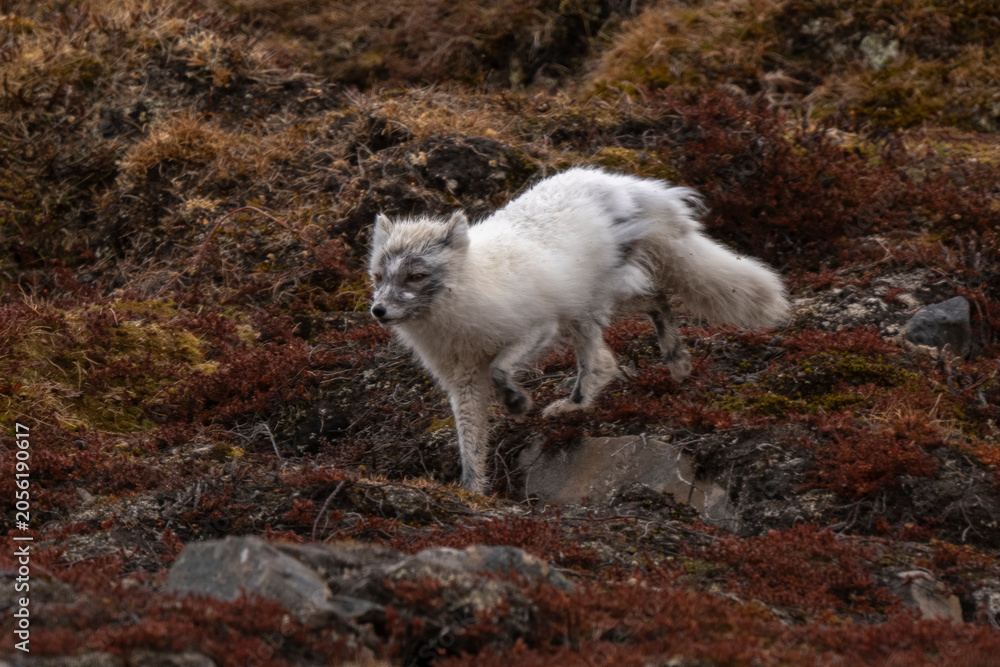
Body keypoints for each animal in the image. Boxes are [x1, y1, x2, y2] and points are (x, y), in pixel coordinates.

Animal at [368, 167, 789, 494]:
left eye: (416, 276)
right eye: (378, 277)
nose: (378, 310)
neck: (466, 292)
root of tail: (619, 182)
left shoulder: (538, 327)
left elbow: (501, 368)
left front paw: (517, 403)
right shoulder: (463, 379)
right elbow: (469, 443)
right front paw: (472, 492)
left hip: (585, 307)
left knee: (603, 360)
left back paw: (576, 404)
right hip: (597, 303)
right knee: (656, 300)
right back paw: (677, 361)